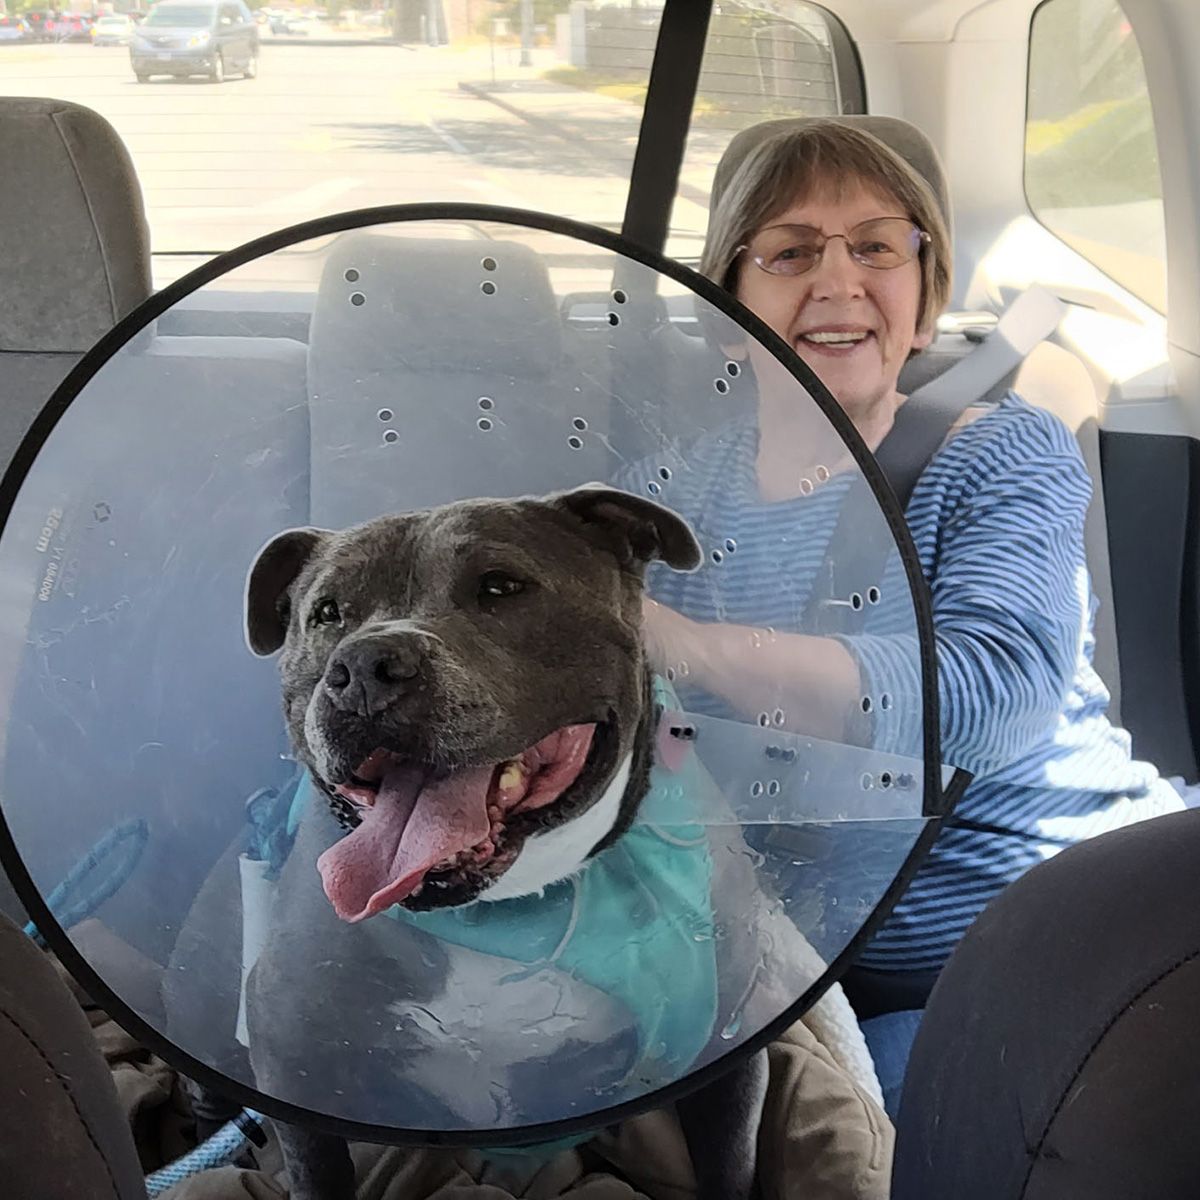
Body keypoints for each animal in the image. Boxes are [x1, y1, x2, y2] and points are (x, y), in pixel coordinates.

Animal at [236, 484, 768, 1200]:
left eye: (501, 587)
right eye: (326, 613)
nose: (365, 666)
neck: (508, 908)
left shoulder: (730, 1049)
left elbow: (730, 1164)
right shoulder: (296, 1067)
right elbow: (317, 1173)